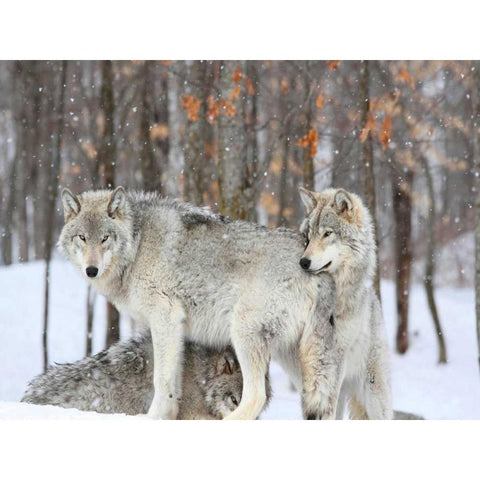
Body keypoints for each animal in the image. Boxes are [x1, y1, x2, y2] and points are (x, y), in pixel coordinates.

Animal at [58, 188, 338, 420]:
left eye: (105, 238)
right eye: (82, 237)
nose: (91, 270)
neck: (138, 244)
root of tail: (314, 267)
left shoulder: (165, 318)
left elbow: (161, 380)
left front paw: (151, 419)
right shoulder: (175, 330)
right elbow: (174, 383)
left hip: (244, 333)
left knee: (256, 396)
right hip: (297, 357)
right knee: (327, 403)